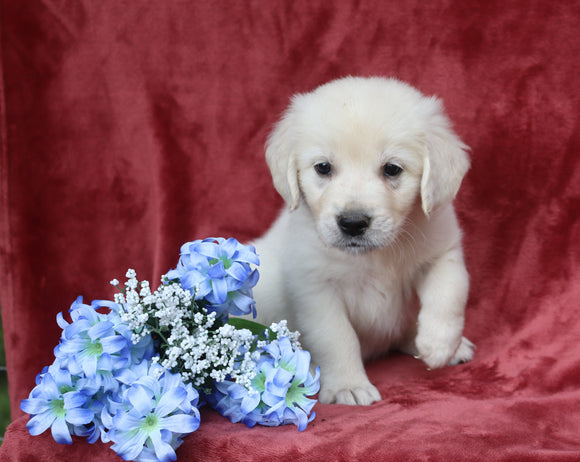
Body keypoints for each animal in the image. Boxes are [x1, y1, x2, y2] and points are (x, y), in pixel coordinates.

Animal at [251, 77, 474, 406]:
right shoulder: (315, 289)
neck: (377, 255)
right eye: (323, 167)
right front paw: (349, 385)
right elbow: (337, 337)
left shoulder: (443, 250)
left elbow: (448, 294)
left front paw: (439, 345)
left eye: (392, 168)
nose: (353, 223)